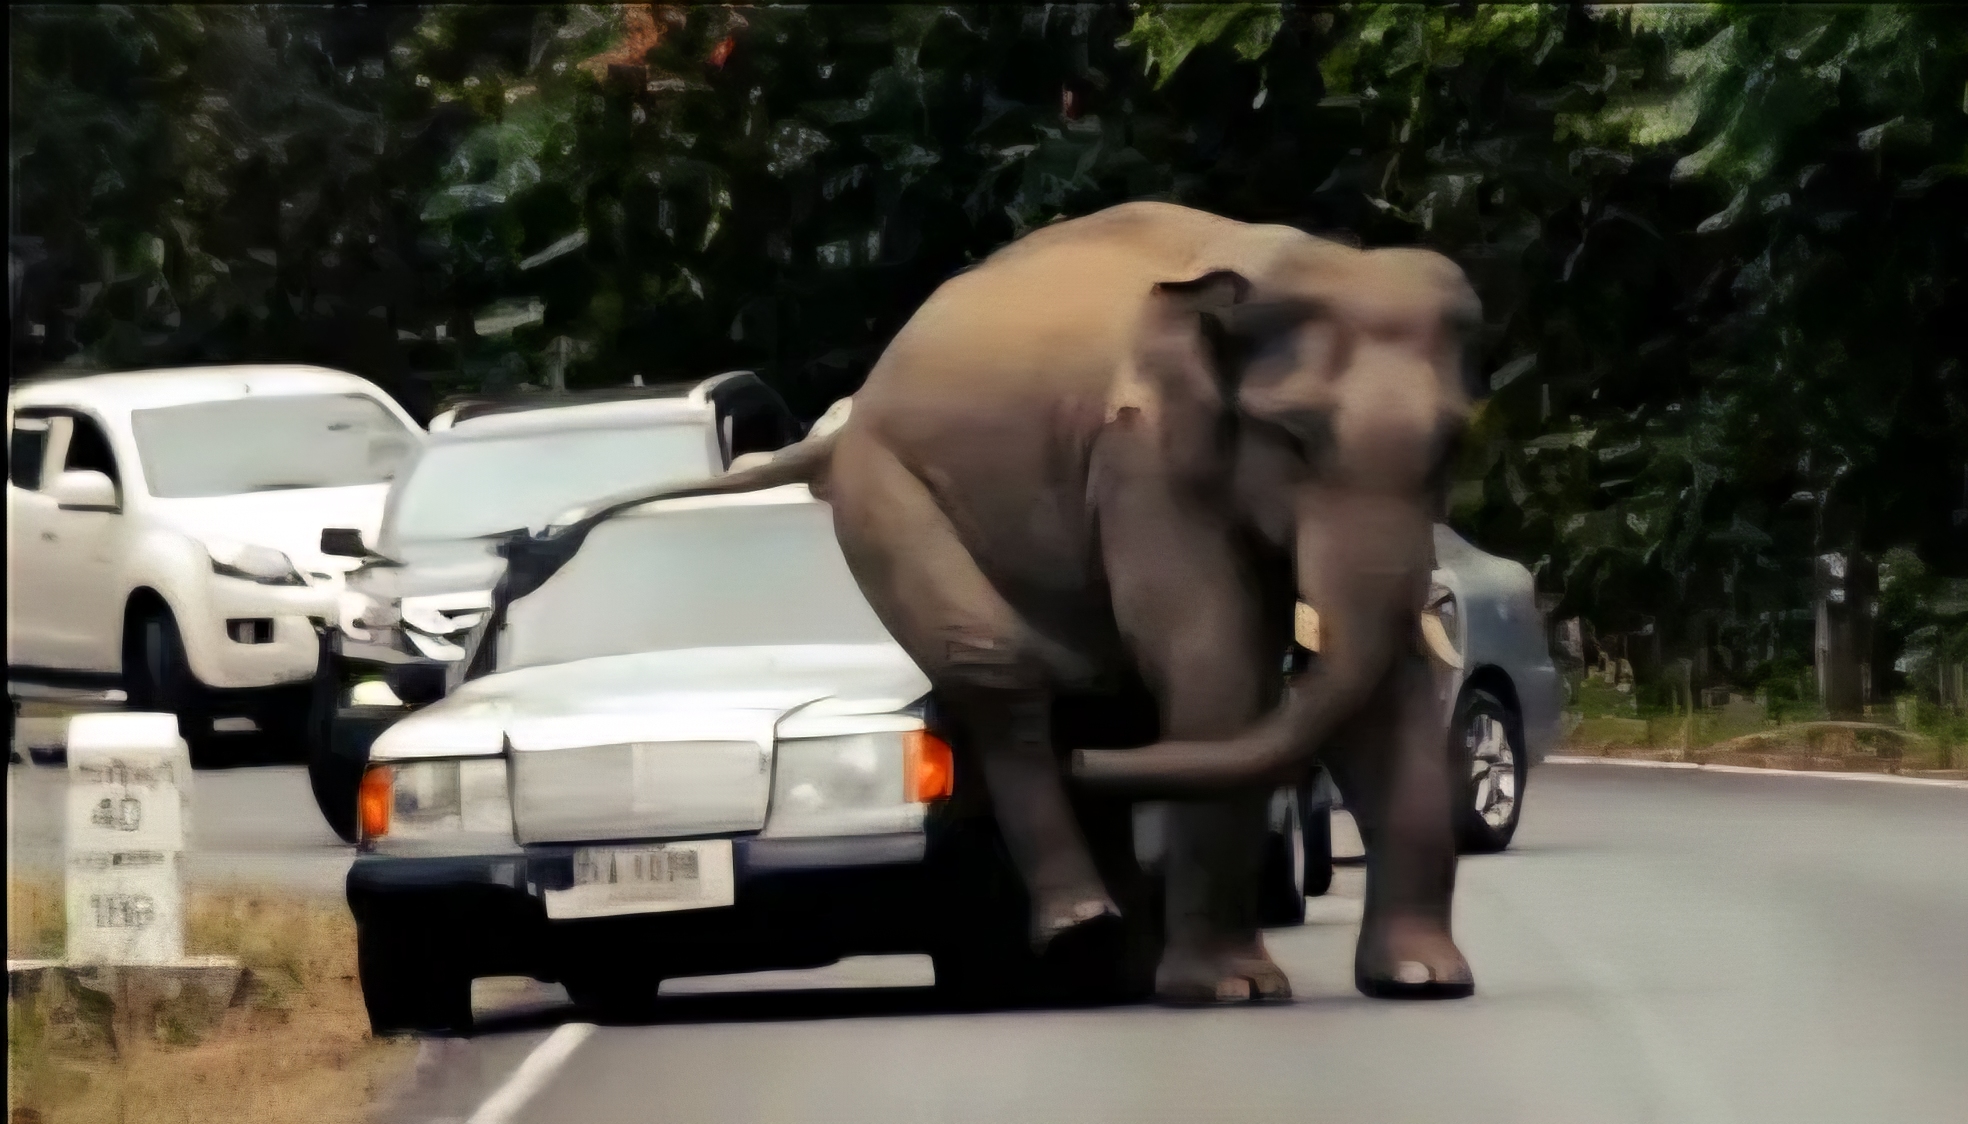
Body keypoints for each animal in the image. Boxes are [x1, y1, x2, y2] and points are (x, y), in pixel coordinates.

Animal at [614, 201, 1484, 1003]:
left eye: (1452, 447)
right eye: (1297, 439)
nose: (1088, 773)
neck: (1271, 262)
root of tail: (843, 420)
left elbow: (1390, 686)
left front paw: (1423, 980)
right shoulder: (1141, 456)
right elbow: (1217, 665)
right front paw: (1232, 989)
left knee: (1106, 703)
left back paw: (1116, 954)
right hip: (889, 497)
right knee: (1003, 673)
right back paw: (1082, 923)